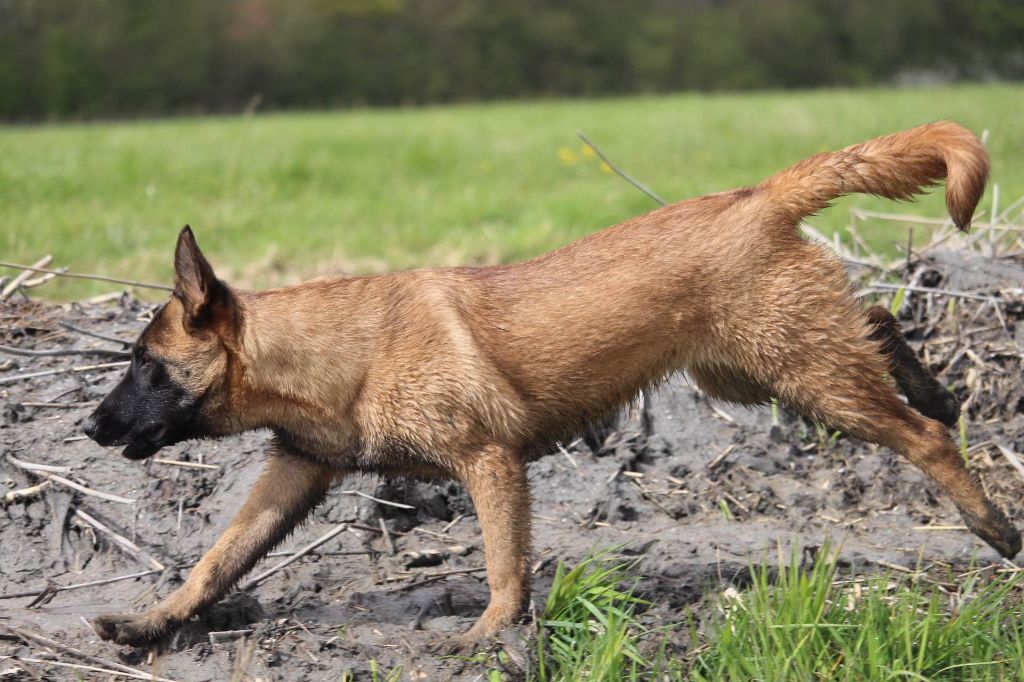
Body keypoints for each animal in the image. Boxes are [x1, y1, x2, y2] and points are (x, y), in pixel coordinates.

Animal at [84, 121, 1020, 647]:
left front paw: (490, 634)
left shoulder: (490, 462)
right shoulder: (295, 472)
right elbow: (217, 561)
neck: (336, 356)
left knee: (924, 437)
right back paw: (939, 390)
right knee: (883, 326)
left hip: (803, 376)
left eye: (143, 363)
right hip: (761, 371)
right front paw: (151, 623)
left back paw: (993, 523)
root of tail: (759, 196)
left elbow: (504, 563)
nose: (90, 430)